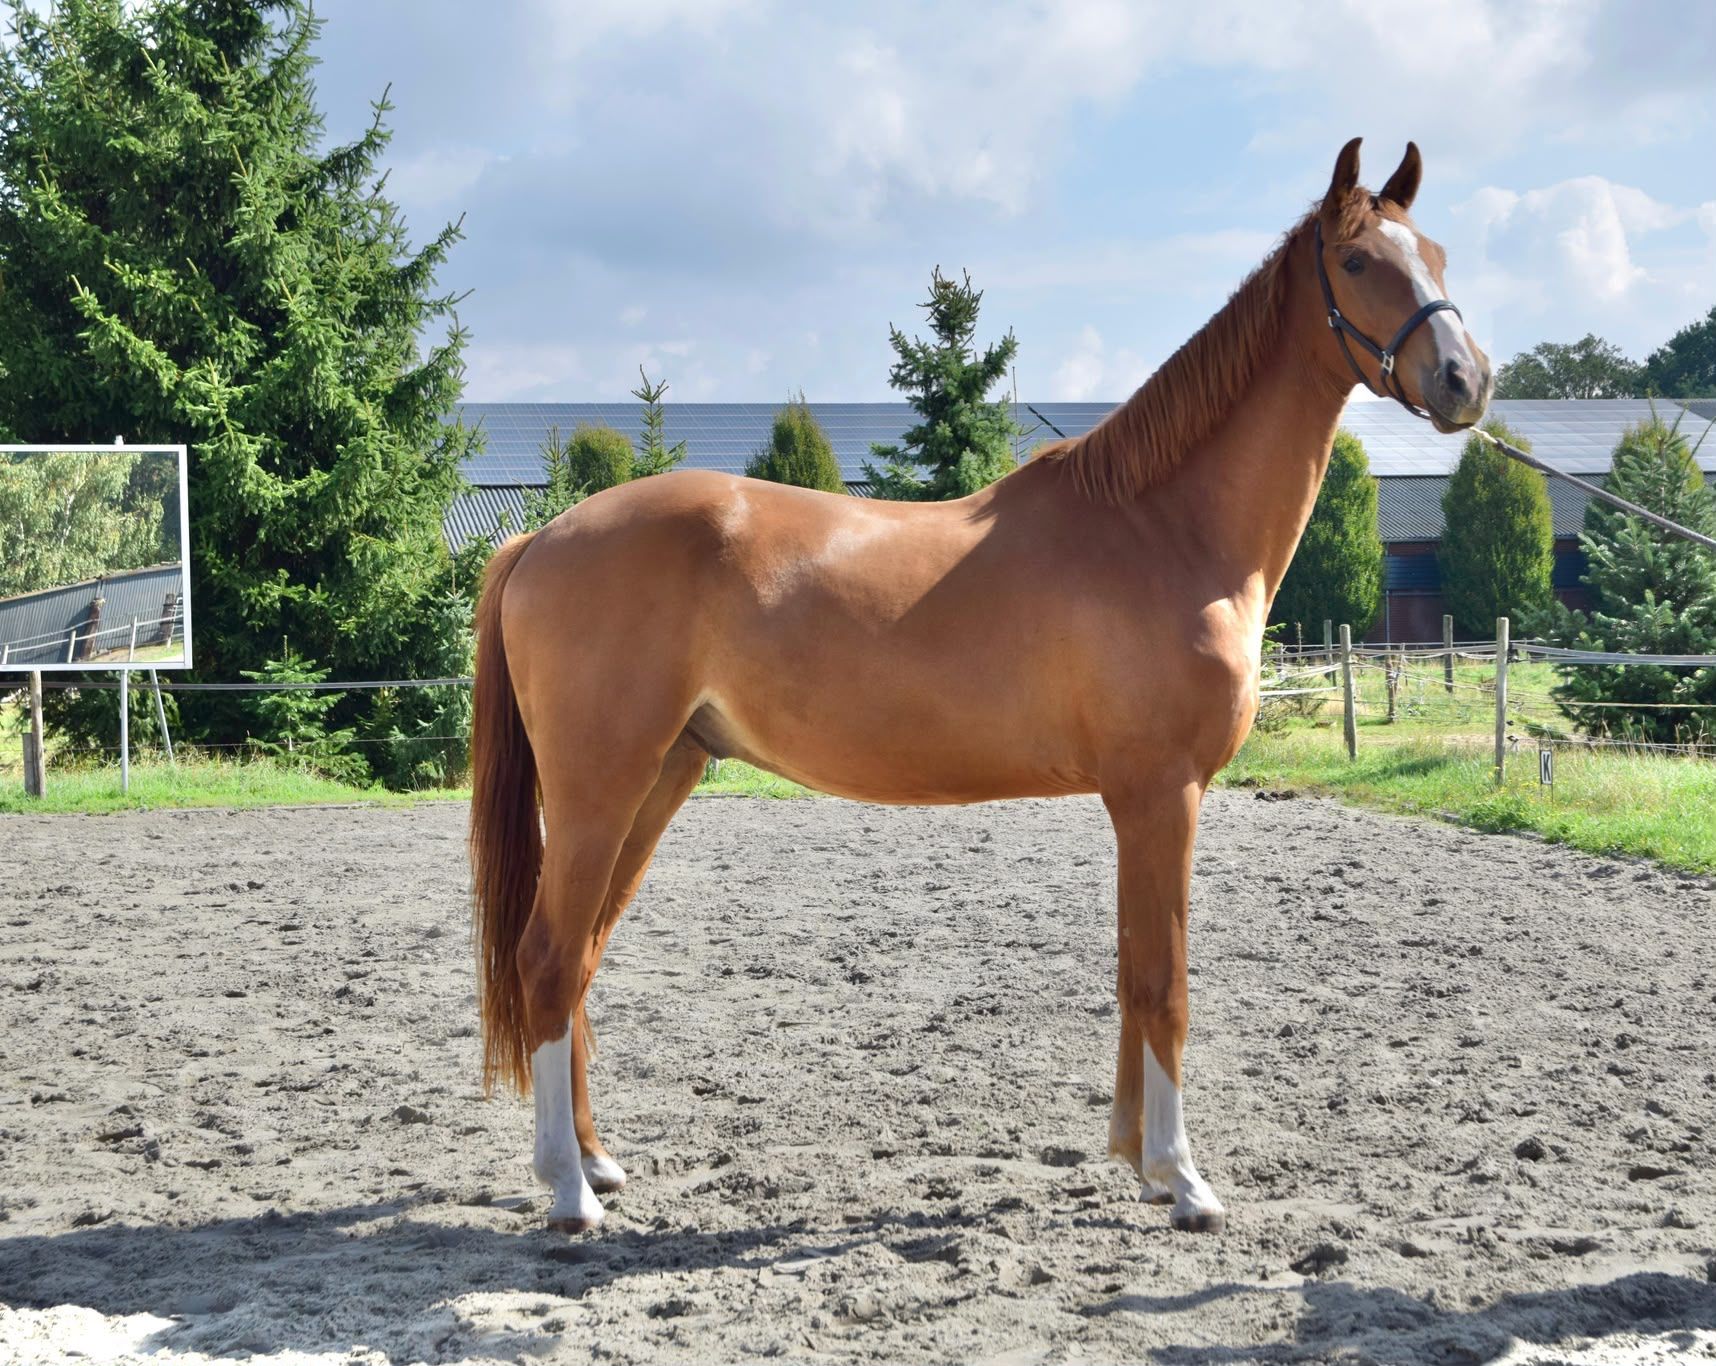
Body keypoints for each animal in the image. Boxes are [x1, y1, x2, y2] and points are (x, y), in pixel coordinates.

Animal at [468, 138, 1492, 1235]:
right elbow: (1164, 983)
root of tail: (542, 537)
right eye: (1356, 262)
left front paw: (1138, 1159)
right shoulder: (1161, 792)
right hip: (600, 786)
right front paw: (1184, 1180)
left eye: (1436, 253)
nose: (1467, 380)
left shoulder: (1140, 801)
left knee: (579, 958)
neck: (1162, 528)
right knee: (546, 959)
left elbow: (1132, 973)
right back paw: (569, 1193)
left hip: (659, 778)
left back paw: (597, 1159)